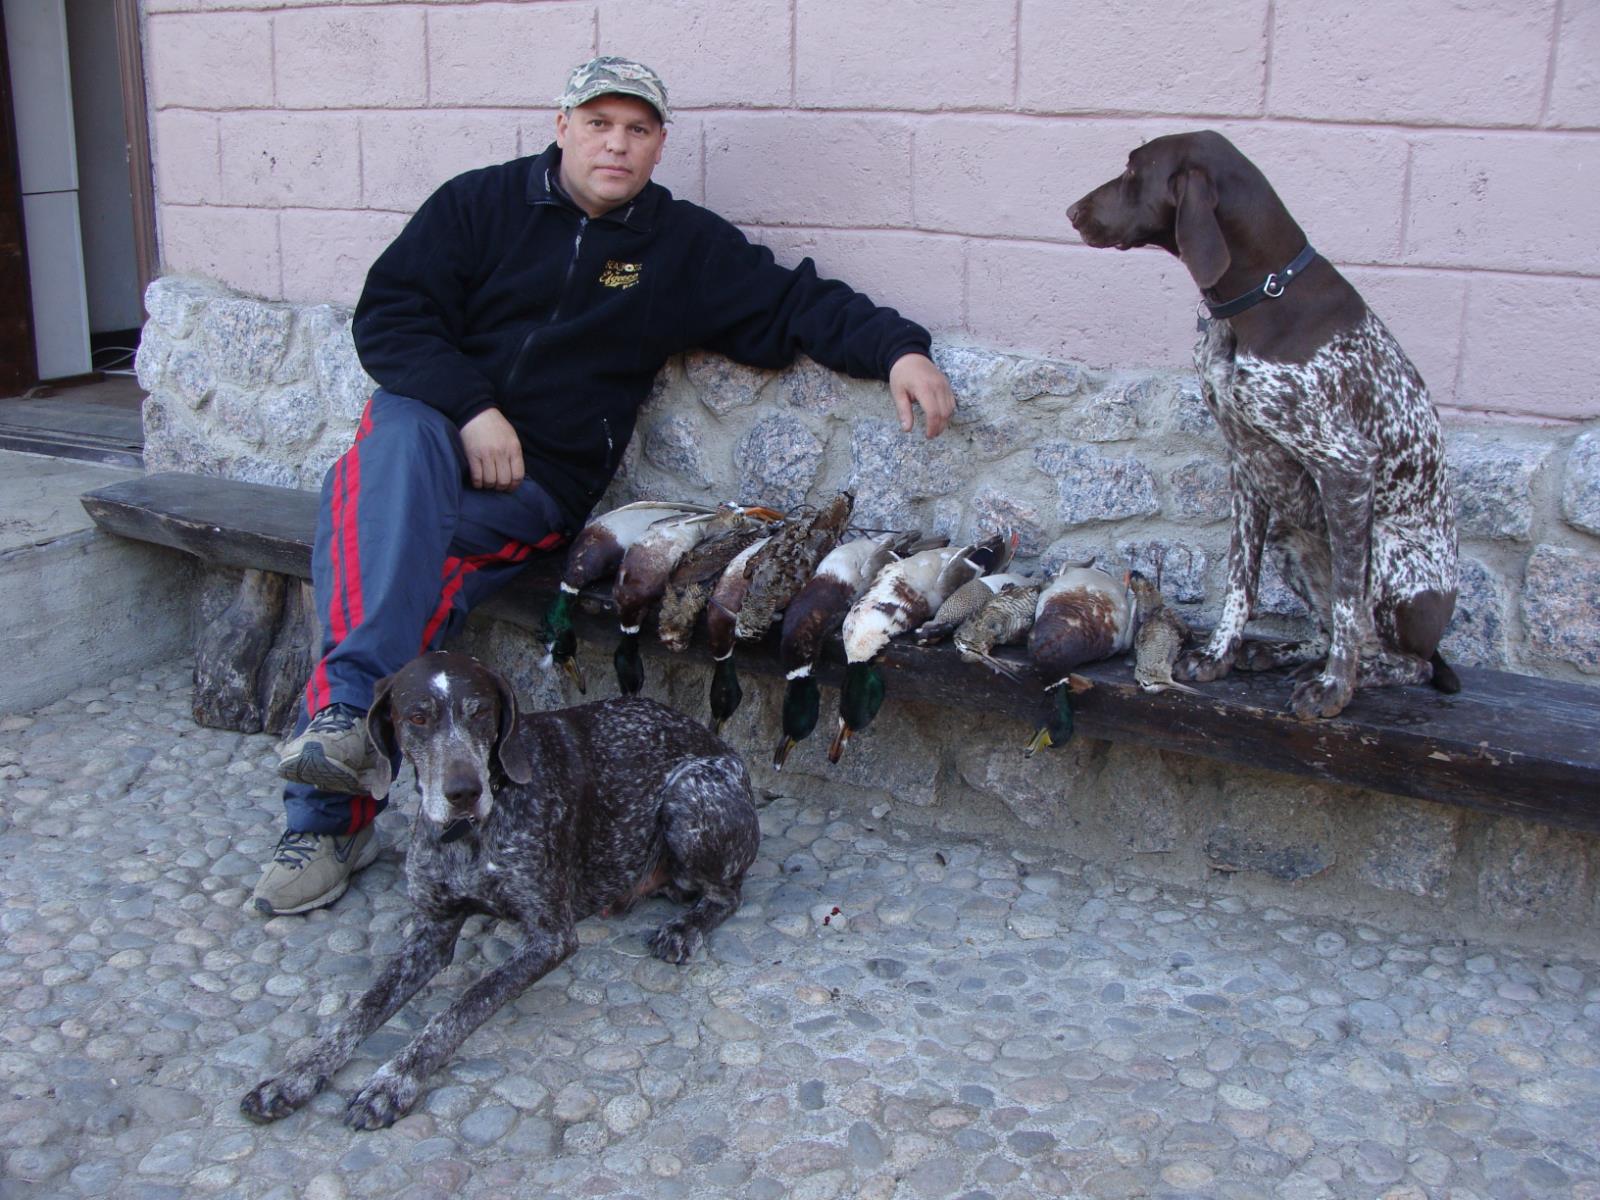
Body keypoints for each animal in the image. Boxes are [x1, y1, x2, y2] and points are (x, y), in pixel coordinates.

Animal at [240, 650, 759, 1129]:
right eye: (417, 718)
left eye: (481, 712)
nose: (463, 791)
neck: (467, 835)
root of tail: (728, 752)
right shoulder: (430, 933)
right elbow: (361, 1009)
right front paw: (296, 1074)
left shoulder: (550, 938)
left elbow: (461, 1008)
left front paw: (393, 1080)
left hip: (690, 795)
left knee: (727, 895)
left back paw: (684, 929)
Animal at [1067, 130, 1459, 720]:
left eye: (1134, 170)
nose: (1072, 212)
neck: (1260, 297)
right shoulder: (1247, 464)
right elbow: (1239, 580)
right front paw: (1219, 654)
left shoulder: (1348, 467)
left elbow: (1348, 604)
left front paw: (1333, 689)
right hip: (1289, 539)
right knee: (1328, 630)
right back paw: (1281, 653)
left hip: (1389, 553)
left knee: (1400, 657)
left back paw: (1360, 672)